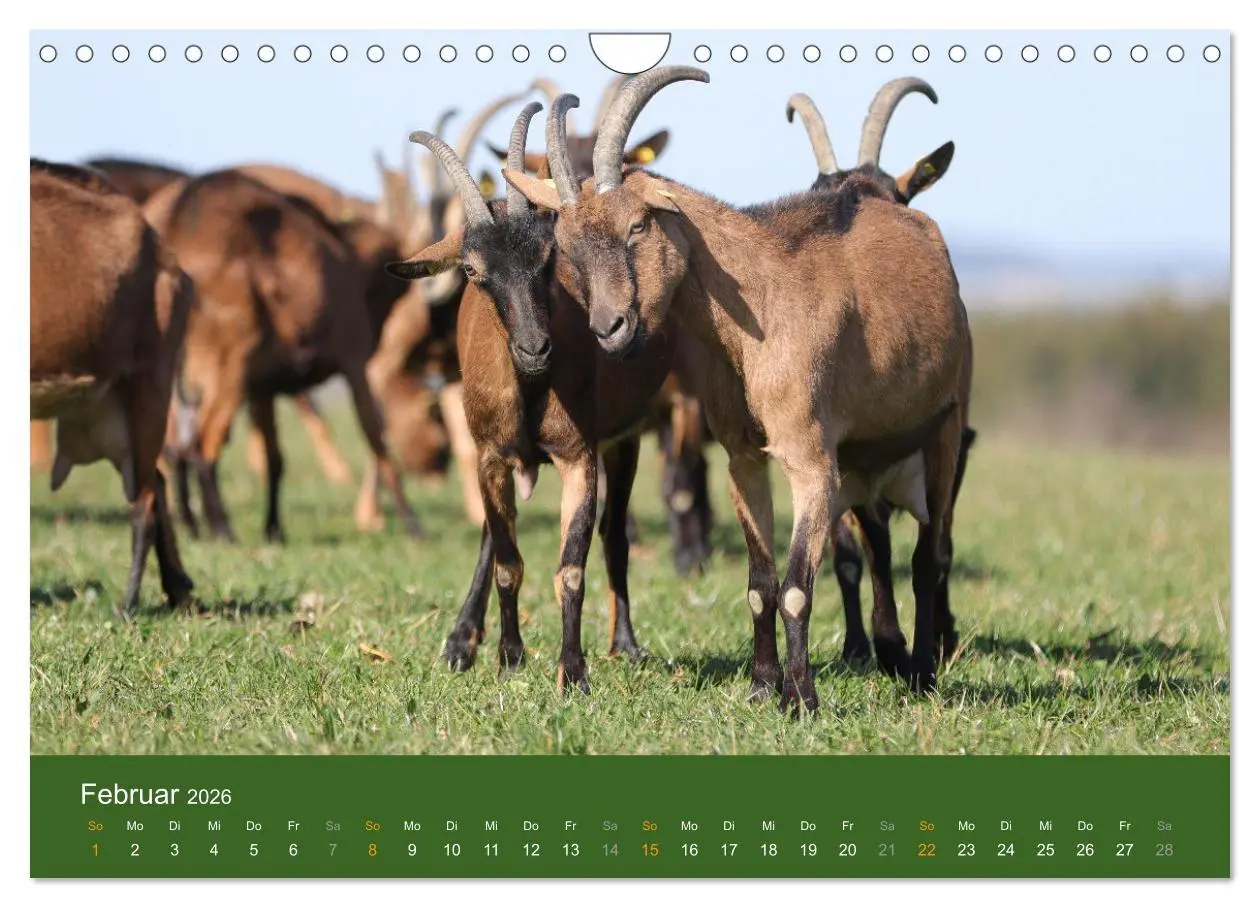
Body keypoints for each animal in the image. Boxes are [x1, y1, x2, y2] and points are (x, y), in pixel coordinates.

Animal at [145, 169, 424, 543]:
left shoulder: (262, 386)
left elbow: (275, 458)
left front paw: (274, 529)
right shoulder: (355, 364)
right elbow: (376, 439)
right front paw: (413, 524)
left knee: (176, 447)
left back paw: (193, 525)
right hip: (227, 365)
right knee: (201, 444)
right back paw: (222, 527)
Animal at [388, 99, 674, 691]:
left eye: (548, 257)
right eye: (472, 271)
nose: (535, 347)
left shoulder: (580, 455)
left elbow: (571, 566)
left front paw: (573, 671)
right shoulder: (490, 457)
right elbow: (505, 561)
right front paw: (508, 656)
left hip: (627, 438)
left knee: (615, 534)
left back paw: (626, 644)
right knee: (494, 539)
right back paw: (463, 641)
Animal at [506, 69, 970, 710]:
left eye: (637, 225)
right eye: (569, 247)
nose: (610, 328)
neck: (762, 304)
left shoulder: (808, 458)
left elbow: (798, 585)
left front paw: (801, 699)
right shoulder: (744, 456)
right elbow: (762, 581)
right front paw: (762, 685)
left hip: (945, 428)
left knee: (931, 554)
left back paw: (924, 668)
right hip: (866, 456)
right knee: (880, 544)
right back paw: (895, 655)